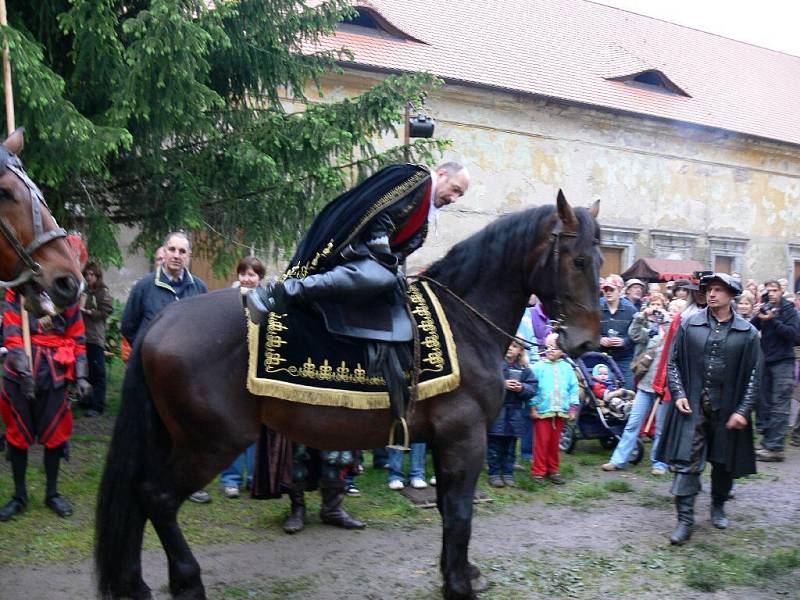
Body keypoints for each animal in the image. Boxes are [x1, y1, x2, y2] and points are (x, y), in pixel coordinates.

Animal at [95, 190, 600, 596]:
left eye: (598, 261)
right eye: (578, 261)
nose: (585, 342)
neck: (465, 320)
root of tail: (163, 320)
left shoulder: (444, 440)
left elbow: (447, 509)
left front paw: (460, 572)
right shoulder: (465, 436)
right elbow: (459, 513)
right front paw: (458, 583)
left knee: (139, 498)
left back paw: (136, 584)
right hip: (212, 443)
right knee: (158, 497)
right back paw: (187, 581)